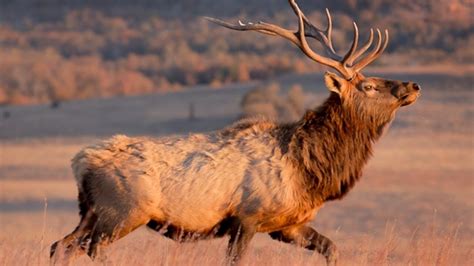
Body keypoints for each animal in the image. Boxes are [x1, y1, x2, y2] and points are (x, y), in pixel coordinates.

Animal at [51, 1, 420, 264]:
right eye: (368, 85)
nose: (413, 85)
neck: (307, 170)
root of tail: (79, 163)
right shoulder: (247, 216)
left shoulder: (288, 224)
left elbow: (332, 248)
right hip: (123, 211)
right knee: (92, 249)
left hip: (91, 212)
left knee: (61, 245)